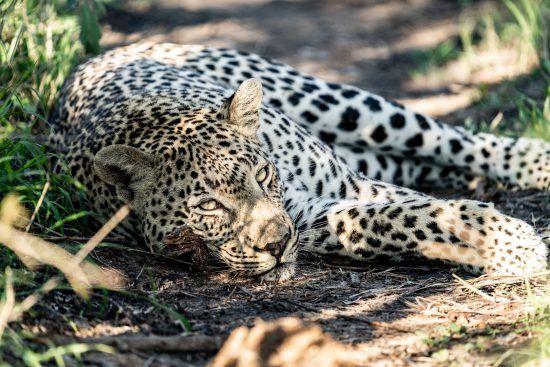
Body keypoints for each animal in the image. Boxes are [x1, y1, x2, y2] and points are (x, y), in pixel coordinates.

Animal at [48, 42, 550, 282]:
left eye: (262, 174)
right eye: (209, 207)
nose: (277, 244)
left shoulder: (349, 187)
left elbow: (426, 210)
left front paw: (511, 241)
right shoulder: (316, 216)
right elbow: (394, 219)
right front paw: (508, 243)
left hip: (336, 103)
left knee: (447, 138)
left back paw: (536, 160)